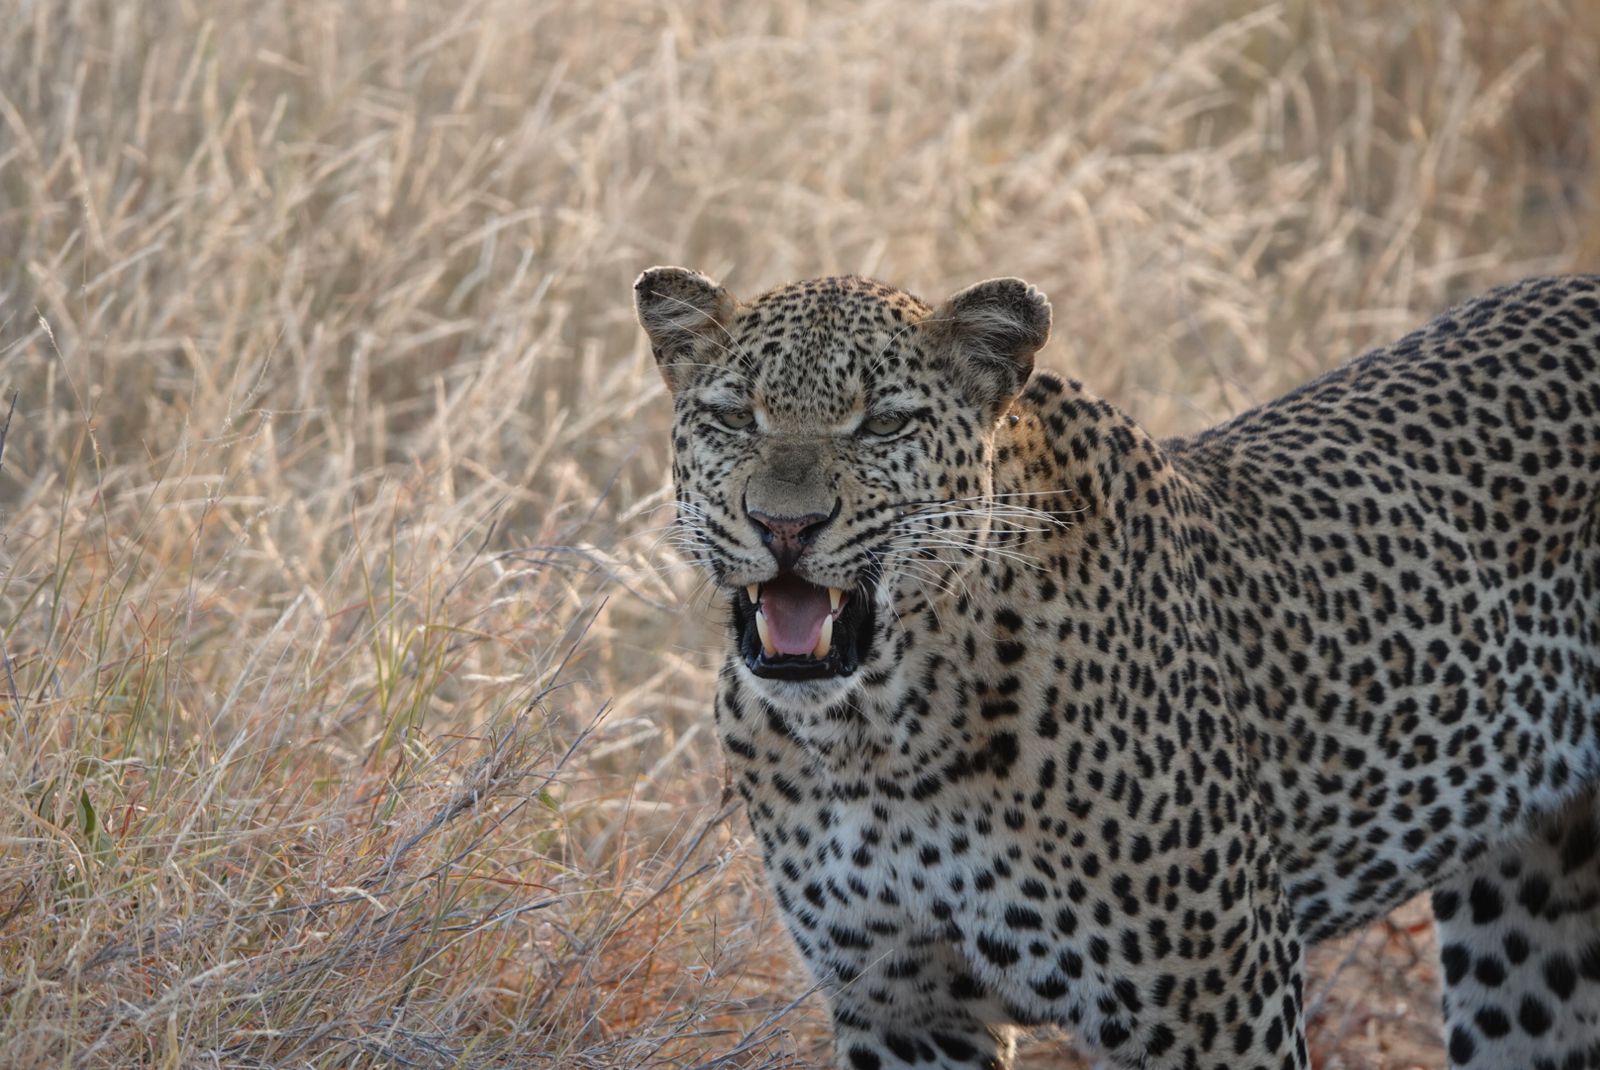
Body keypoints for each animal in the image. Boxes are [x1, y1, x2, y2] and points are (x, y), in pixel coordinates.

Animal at [634, 266, 1600, 1070]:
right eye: (733, 417)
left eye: (885, 424)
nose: (784, 526)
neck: (871, 731)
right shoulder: (903, 1008)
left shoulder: (1224, 999)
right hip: (1530, 925)